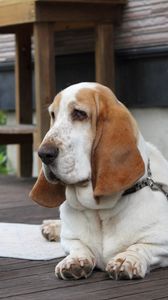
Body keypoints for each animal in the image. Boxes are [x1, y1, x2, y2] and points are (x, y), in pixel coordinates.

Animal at [29, 81, 168, 278]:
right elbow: (77, 246)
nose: (43, 154)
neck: (99, 210)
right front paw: (74, 261)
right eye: (53, 115)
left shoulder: (160, 243)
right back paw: (52, 227)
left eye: (79, 113)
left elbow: (140, 247)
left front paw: (126, 260)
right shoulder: (70, 240)